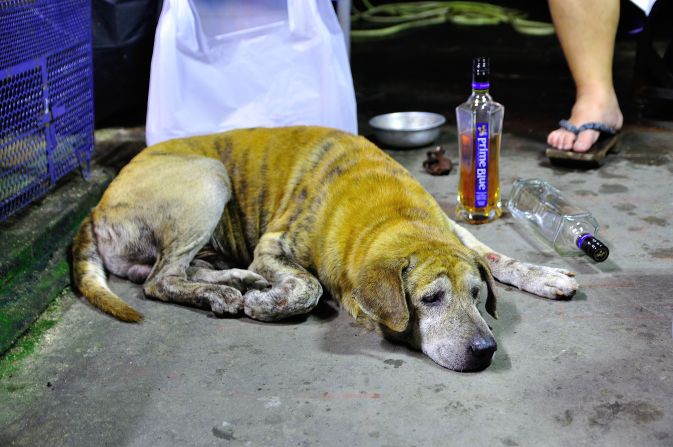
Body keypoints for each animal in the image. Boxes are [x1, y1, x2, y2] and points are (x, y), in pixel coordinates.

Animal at [75, 126, 576, 372]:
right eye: (431, 299)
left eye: (476, 294)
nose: (486, 350)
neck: (390, 215)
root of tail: (96, 207)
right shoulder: (274, 245)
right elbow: (308, 286)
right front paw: (268, 304)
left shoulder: (452, 227)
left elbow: (495, 256)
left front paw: (543, 274)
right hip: (209, 177)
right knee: (160, 280)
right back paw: (225, 291)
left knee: (173, 270)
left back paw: (234, 279)